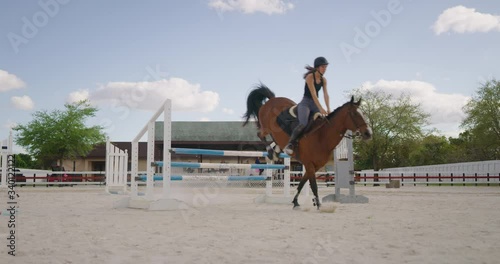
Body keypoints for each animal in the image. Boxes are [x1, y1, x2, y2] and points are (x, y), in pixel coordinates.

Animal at [242, 84, 372, 208]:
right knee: (260, 134)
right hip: (266, 127)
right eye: (354, 114)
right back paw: (271, 151)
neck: (321, 136)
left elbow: (301, 183)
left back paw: (277, 150)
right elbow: (313, 186)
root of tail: (272, 99)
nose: (368, 133)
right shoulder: (309, 165)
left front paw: (295, 202)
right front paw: (319, 205)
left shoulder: (314, 167)